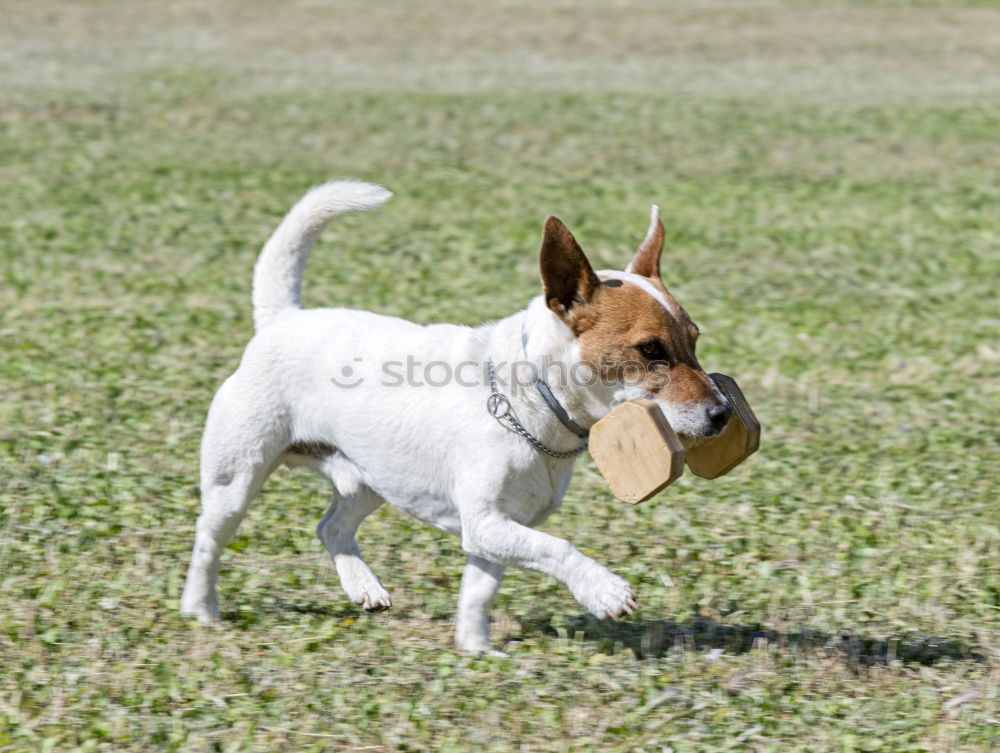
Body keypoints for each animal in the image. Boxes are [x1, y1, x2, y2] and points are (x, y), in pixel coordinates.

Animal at [178, 182, 728, 652]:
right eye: (650, 350)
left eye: (694, 340)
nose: (722, 414)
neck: (526, 401)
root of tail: (283, 318)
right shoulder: (485, 523)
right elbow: (557, 548)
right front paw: (604, 590)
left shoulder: (497, 531)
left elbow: (478, 593)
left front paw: (475, 649)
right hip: (237, 479)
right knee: (209, 539)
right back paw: (200, 608)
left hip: (373, 479)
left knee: (331, 527)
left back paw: (362, 587)